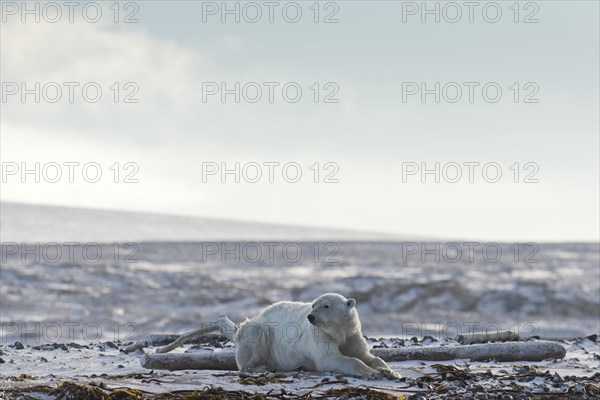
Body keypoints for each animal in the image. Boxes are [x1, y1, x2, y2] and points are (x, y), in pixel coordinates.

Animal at [234, 292, 398, 380]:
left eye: (326, 306)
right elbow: (329, 358)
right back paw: (261, 367)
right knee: (255, 344)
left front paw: (390, 371)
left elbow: (365, 355)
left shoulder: (351, 335)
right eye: (313, 305)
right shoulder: (321, 336)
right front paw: (373, 373)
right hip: (261, 329)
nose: (310, 317)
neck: (339, 332)